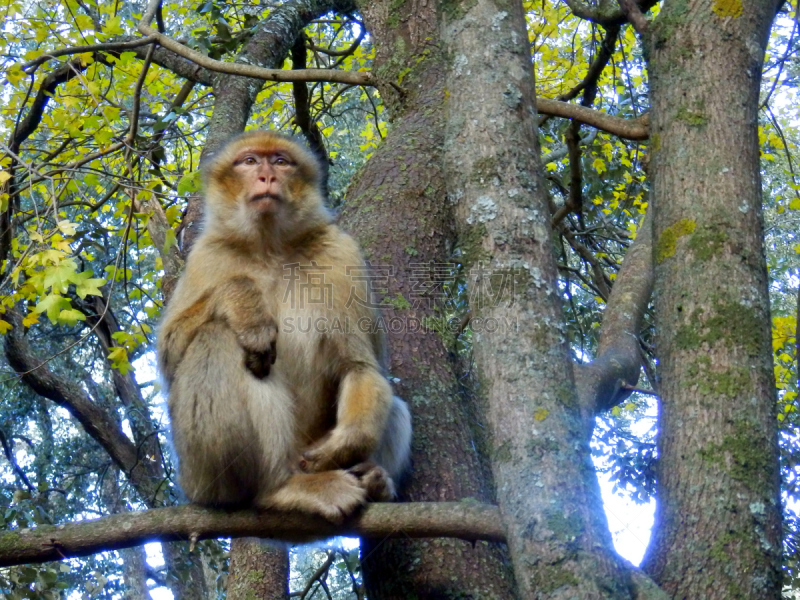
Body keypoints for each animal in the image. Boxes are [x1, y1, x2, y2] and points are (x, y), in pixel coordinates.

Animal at [159, 130, 416, 520]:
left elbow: (360, 366)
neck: (269, 248)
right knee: (215, 337)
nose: (267, 176)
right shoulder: (207, 255)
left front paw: (346, 446)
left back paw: (374, 480)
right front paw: (244, 303)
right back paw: (277, 489)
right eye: (250, 161)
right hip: (198, 480)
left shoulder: (341, 256)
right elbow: (169, 355)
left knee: (395, 405)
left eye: (281, 161)